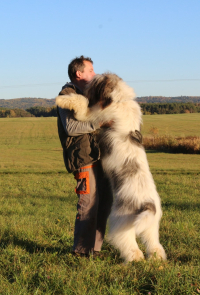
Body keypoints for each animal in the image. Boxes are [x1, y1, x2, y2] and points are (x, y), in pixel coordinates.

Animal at [55, 74, 166, 264]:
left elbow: (81, 103)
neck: (121, 99)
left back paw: (134, 259)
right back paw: (156, 260)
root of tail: (147, 204)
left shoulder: (92, 116)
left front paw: (62, 99)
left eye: (94, 81)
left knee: (128, 242)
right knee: (155, 244)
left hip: (121, 221)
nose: (86, 85)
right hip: (150, 225)